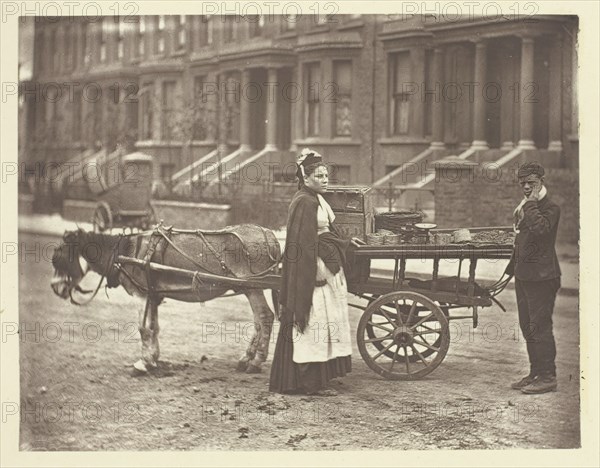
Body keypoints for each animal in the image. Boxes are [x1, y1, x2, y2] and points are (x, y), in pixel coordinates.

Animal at [49, 225, 282, 374]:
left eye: (57, 257)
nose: (55, 288)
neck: (126, 252)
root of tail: (269, 234)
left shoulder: (141, 295)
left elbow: (143, 329)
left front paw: (143, 363)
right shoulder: (153, 295)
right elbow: (154, 327)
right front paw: (153, 358)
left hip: (252, 288)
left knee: (264, 317)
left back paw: (255, 362)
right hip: (249, 288)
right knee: (259, 322)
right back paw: (246, 359)